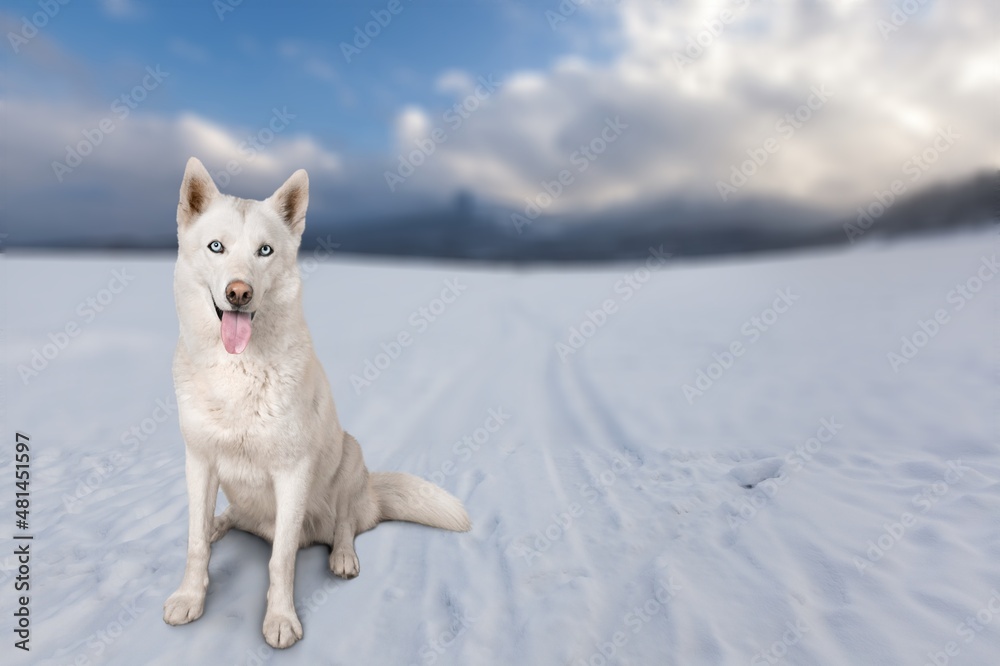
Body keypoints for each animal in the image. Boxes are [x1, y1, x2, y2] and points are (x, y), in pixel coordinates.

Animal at [164, 156, 472, 644]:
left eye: (264, 251)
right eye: (216, 247)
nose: (239, 293)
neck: (238, 372)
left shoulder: (292, 474)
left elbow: (281, 559)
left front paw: (280, 621)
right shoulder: (200, 462)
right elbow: (195, 543)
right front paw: (189, 598)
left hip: (350, 455)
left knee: (346, 525)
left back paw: (342, 557)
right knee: (231, 517)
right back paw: (220, 525)